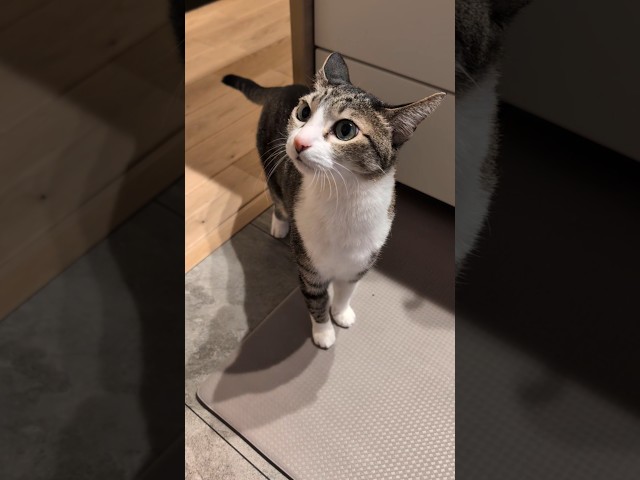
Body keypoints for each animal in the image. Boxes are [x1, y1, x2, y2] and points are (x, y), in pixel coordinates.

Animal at [223, 53, 445, 348]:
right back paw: (280, 225)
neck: (344, 198)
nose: (299, 141)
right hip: (269, 164)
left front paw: (341, 314)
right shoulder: (310, 268)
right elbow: (317, 301)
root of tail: (282, 88)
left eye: (346, 129)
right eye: (304, 113)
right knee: (278, 200)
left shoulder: (359, 262)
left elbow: (344, 292)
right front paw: (323, 333)